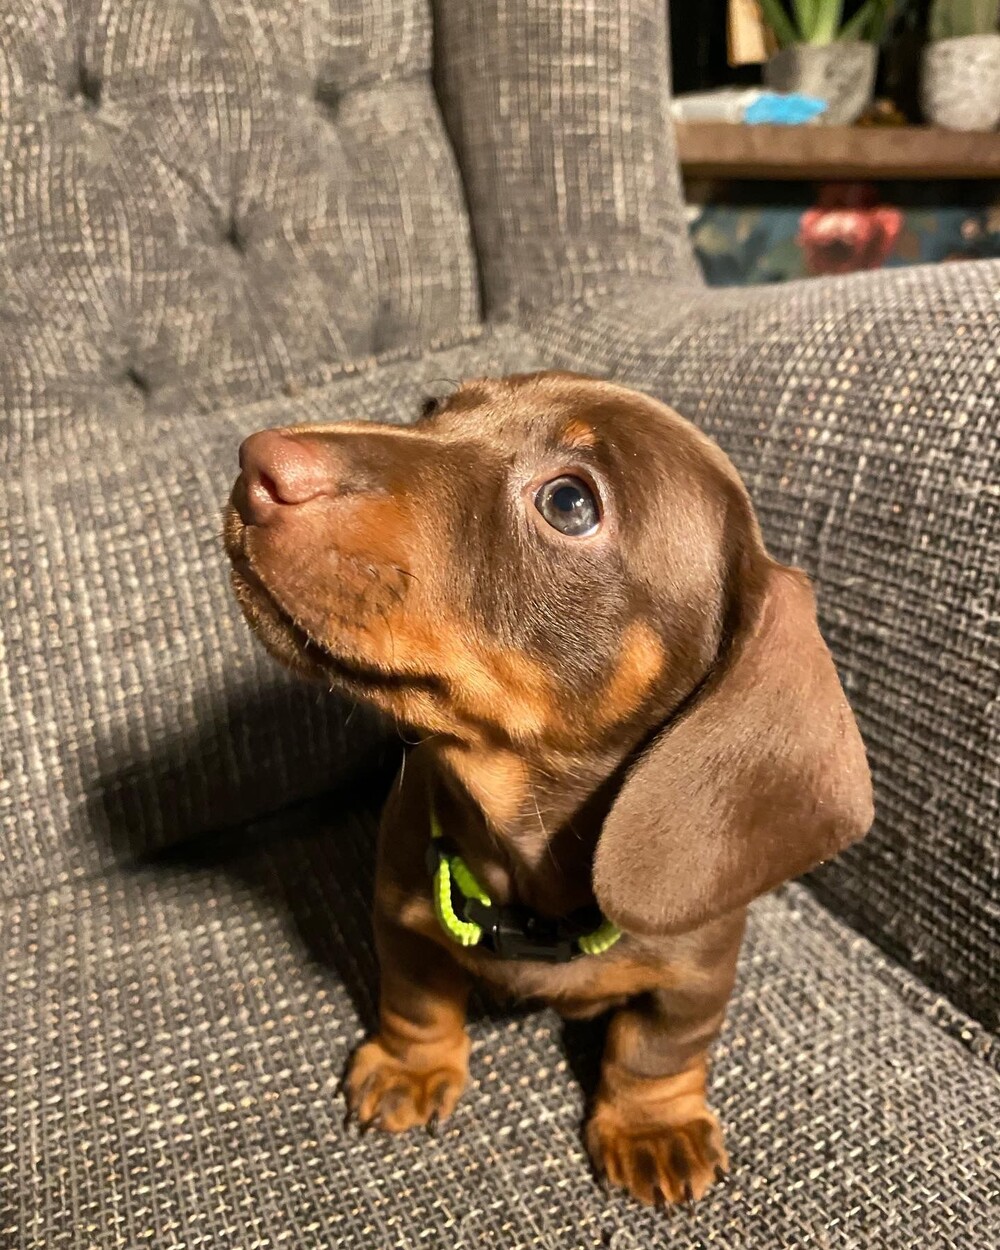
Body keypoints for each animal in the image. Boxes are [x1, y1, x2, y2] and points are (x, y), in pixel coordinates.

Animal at [224, 371, 872, 1208]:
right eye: (434, 409)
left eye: (568, 502)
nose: (255, 463)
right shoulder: (400, 910)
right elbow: (416, 994)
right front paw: (410, 1066)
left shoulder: (699, 971)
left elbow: (658, 1048)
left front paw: (652, 1125)